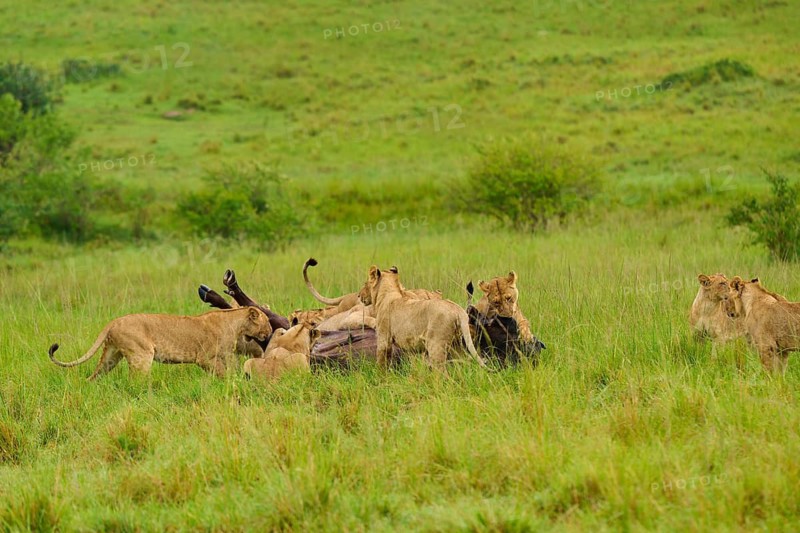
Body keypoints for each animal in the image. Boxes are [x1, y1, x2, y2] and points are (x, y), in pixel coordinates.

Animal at [49, 307, 273, 380]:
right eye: (268, 322)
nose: (271, 331)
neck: (237, 325)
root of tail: (115, 320)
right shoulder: (204, 358)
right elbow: (223, 374)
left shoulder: (226, 356)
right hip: (142, 355)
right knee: (135, 381)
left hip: (111, 356)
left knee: (94, 376)